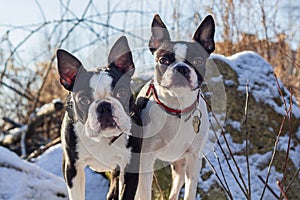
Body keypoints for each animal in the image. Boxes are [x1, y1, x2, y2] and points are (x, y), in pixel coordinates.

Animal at [57, 36, 143, 200]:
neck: (103, 138)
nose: (104, 107)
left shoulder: (130, 168)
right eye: (83, 100)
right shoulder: (72, 169)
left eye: (121, 93)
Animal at [136, 14, 216, 200]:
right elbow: (144, 192)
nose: (181, 68)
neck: (176, 109)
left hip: (180, 164)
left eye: (198, 60)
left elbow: (190, 192)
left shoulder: (194, 159)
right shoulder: (145, 160)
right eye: (163, 60)